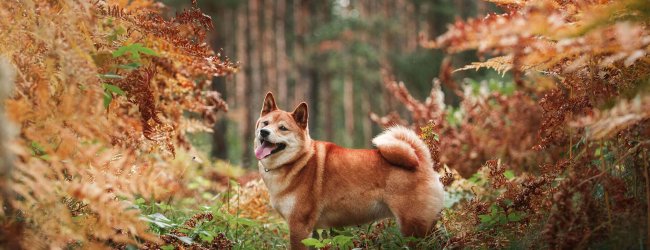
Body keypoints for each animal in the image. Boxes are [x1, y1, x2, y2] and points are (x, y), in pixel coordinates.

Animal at [256, 93, 442, 249]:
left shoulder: (299, 226)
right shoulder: (310, 230)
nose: (264, 132)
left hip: (413, 228)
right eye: (265, 123)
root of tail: (420, 160)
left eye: (283, 128)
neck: (298, 161)